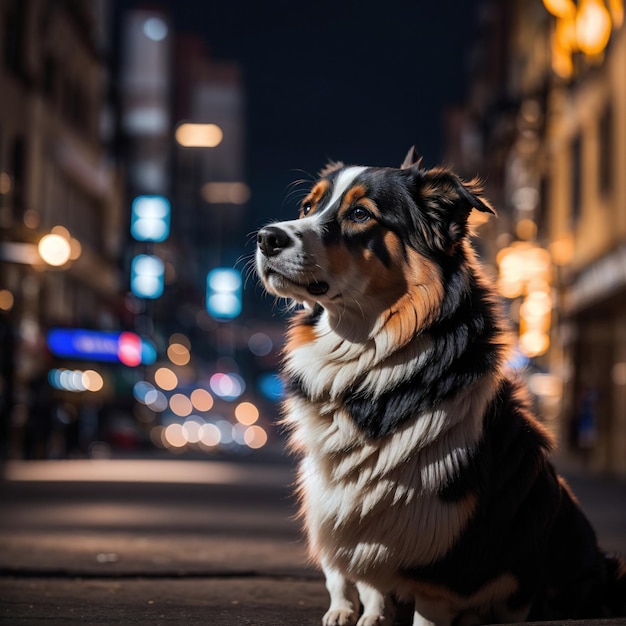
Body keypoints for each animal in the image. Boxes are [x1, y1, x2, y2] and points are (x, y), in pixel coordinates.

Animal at [254, 149, 624, 620]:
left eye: (360, 214)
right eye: (307, 207)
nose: (266, 237)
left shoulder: (439, 564)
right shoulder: (359, 514)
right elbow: (365, 582)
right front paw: (366, 613)